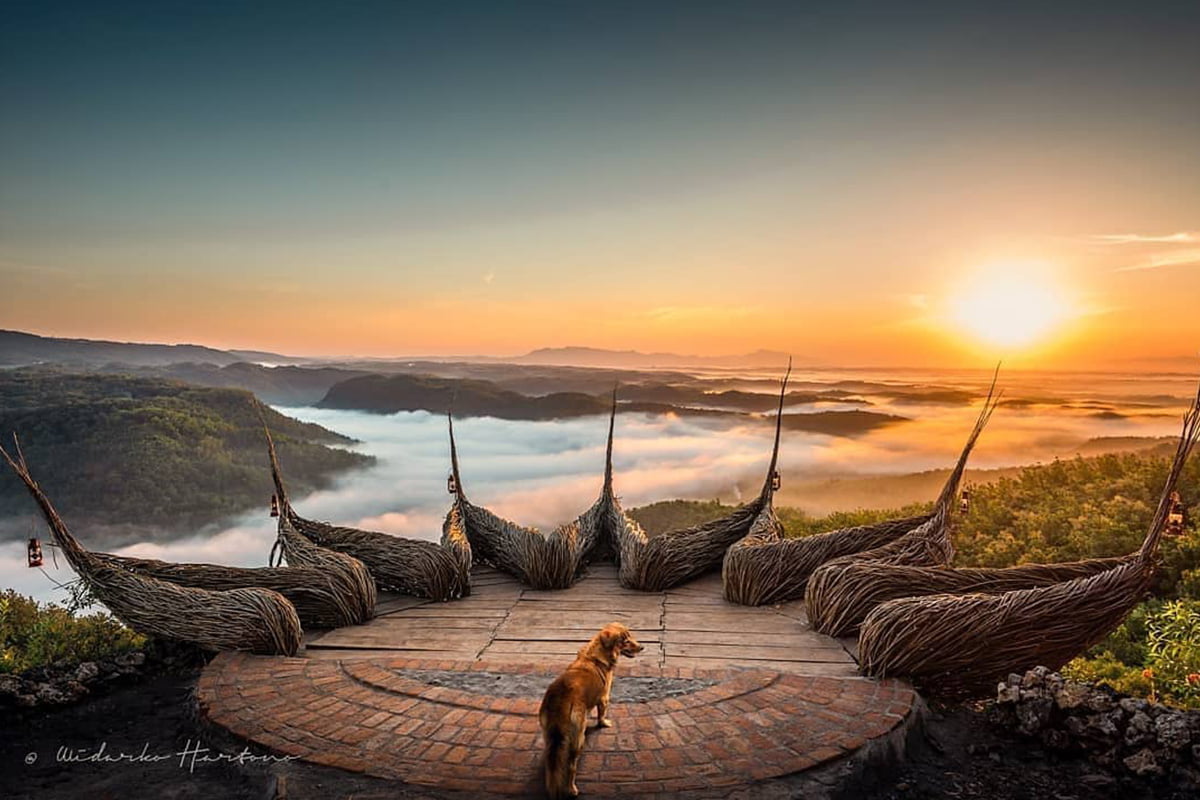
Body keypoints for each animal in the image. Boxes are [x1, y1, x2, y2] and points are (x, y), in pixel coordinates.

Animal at [540, 623, 643, 796]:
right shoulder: (604, 697)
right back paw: (572, 788)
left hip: (548, 734)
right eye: (625, 640)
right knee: (571, 765)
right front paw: (604, 723)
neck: (596, 655)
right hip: (577, 737)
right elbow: (602, 714)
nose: (642, 647)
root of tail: (560, 698)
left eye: (630, 636)